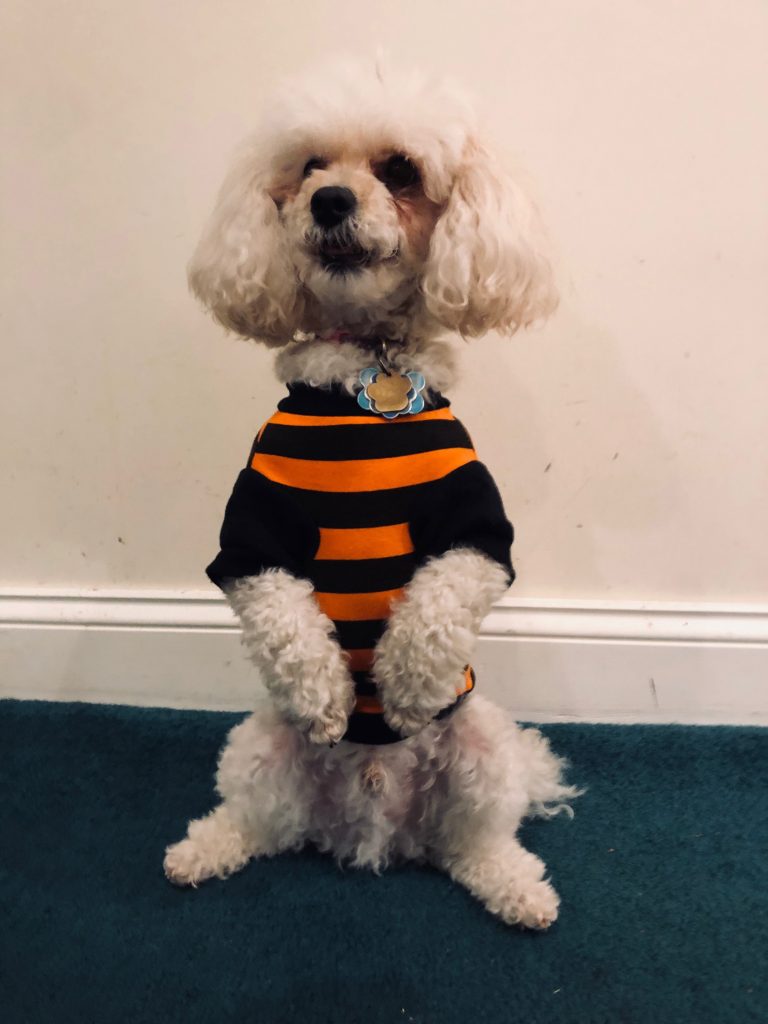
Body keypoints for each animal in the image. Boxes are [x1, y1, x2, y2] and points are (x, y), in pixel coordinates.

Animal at [165, 59, 581, 933]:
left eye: (399, 170)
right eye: (308, 168)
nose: (330, 201)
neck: (363, 372)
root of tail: (376, 818)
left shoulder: (478, 531)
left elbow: (440, 600)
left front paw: (408, 685)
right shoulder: (251, 537)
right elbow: (284, 615)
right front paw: (328, 692)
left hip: (484, 747)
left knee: (474, 841)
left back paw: (518, 888)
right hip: (260, 748)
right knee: (259, 821)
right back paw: (201, 851)